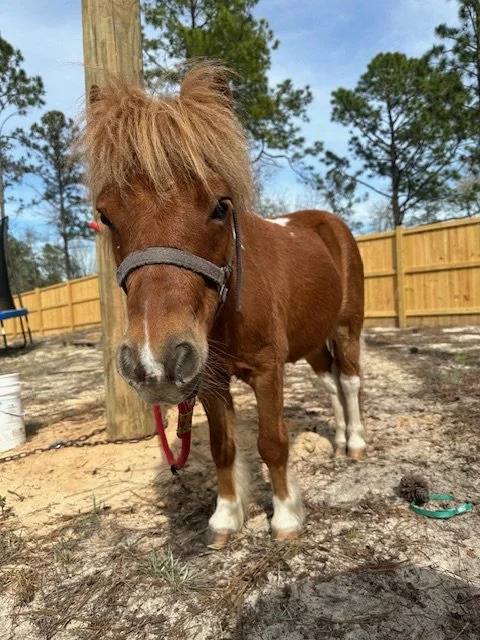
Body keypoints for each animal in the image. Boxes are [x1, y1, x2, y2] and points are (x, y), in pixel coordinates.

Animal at [80, 63, 365, 547]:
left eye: (220, 206)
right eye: (106, 215)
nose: (153, 362)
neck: (229, 308)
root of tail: (327, 222)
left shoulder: (268, 370)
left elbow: (272, 441)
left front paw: (285, 517)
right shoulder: (209, 380)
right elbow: (222, 446)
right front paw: (227, 517)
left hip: (347, 330)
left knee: (349, 382)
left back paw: (357, 444)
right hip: (312, 341)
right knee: (330, 384)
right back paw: (341, 438)